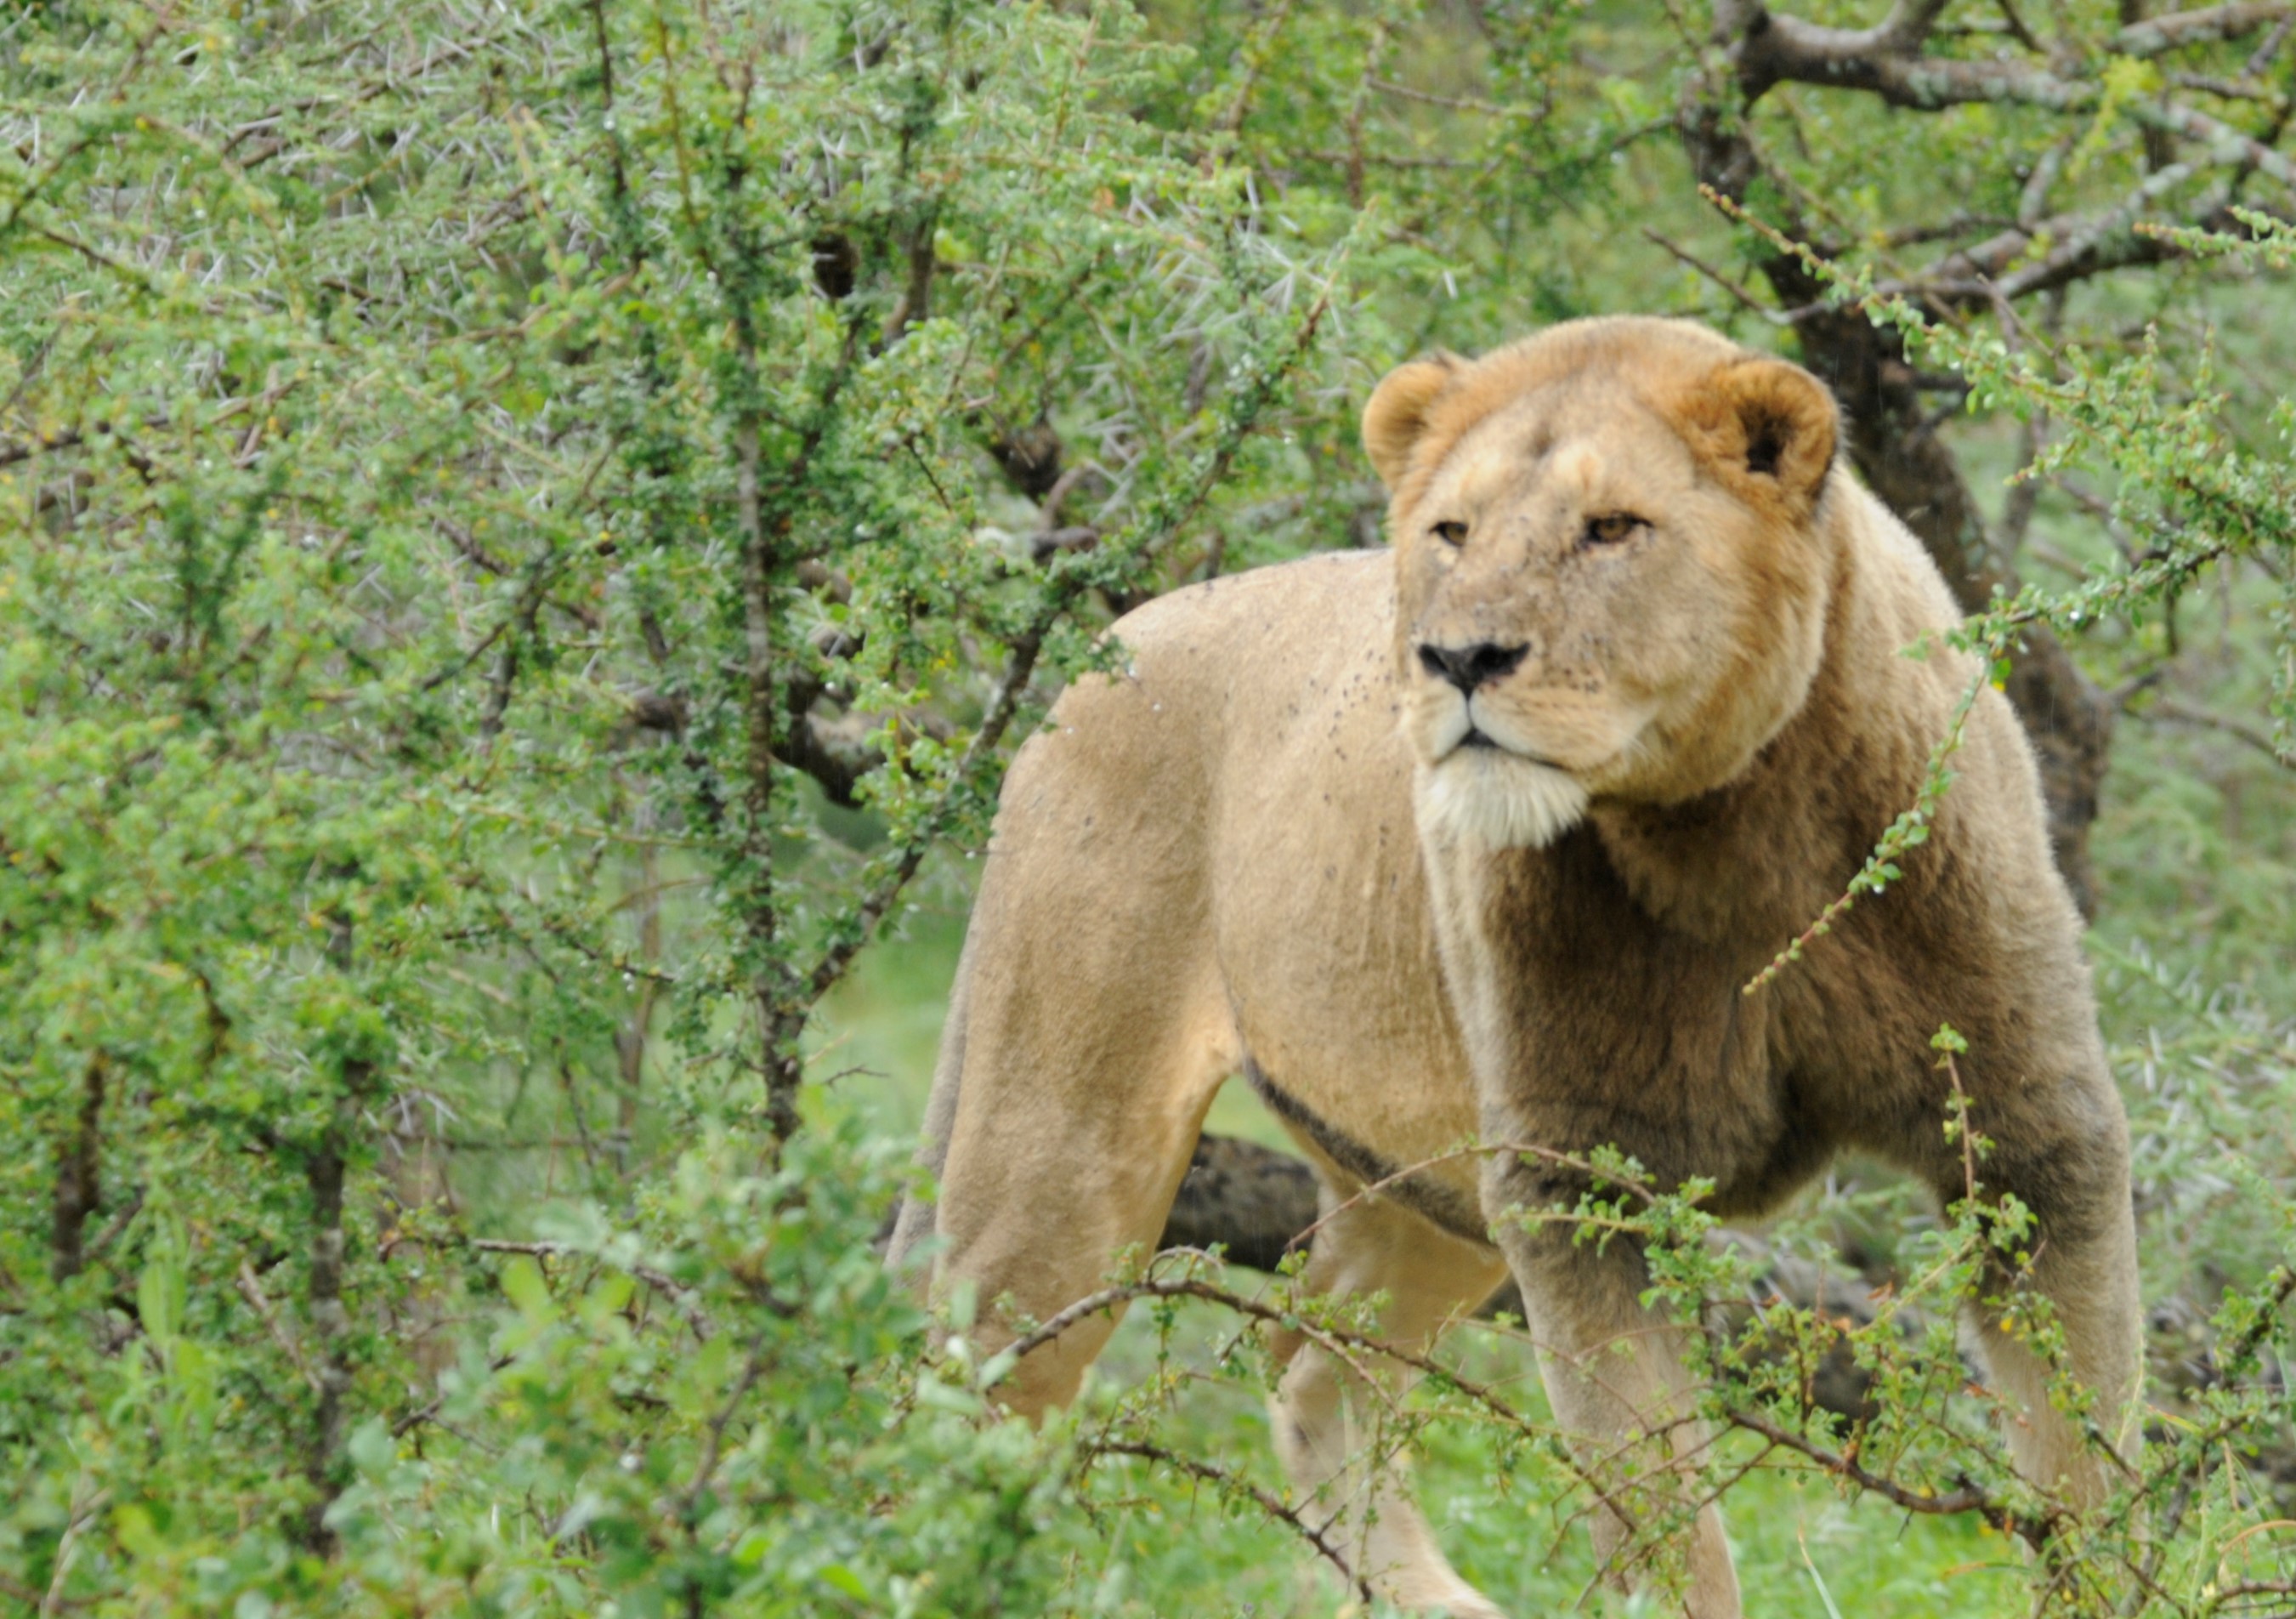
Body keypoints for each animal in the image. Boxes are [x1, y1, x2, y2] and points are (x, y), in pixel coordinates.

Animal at [886, 319, 2140, 1616]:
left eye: (1612, 528)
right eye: (1452, 531)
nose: (1457, 656)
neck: (1731, 836)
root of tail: (1107, 641)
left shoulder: (2032, 1138)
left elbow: (2086, 1463)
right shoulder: (1571, 1178)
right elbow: (1658, 1512)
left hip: (1421, 1181)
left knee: (1310, 1363)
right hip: (1061, 1153)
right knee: (959, 1387)